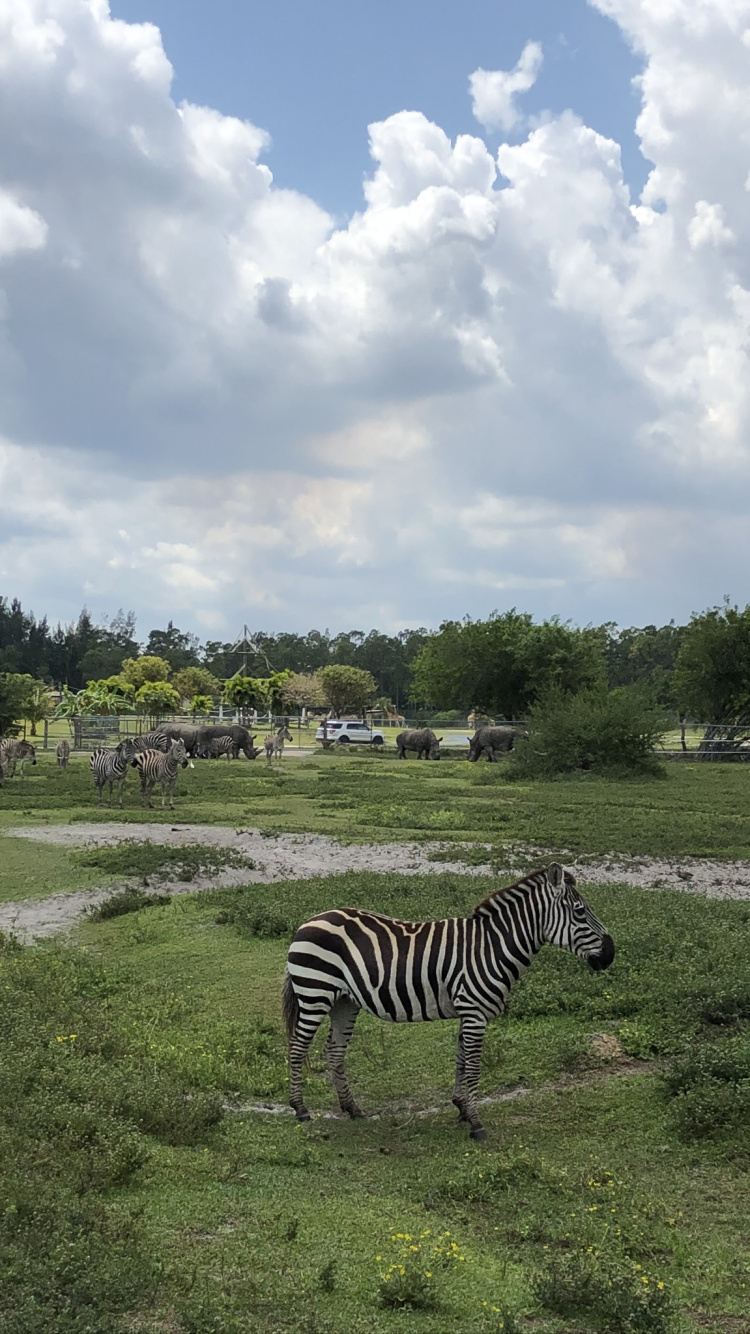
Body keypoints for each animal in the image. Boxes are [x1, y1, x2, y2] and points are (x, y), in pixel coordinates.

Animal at [283, 863, 614, 1140]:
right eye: (580, 912)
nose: (611, 955)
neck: (492, 947)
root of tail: (309, 921)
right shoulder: (475, 1011)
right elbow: (474, 1066)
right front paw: (477, 1123)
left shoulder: (468, 1011)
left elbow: (460, 1059)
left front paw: (462, 1108)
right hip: (315, 992)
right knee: (297, 1047)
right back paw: (300, 1109)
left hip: (344, 1001)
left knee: (335, 1050)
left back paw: (352, 1109)